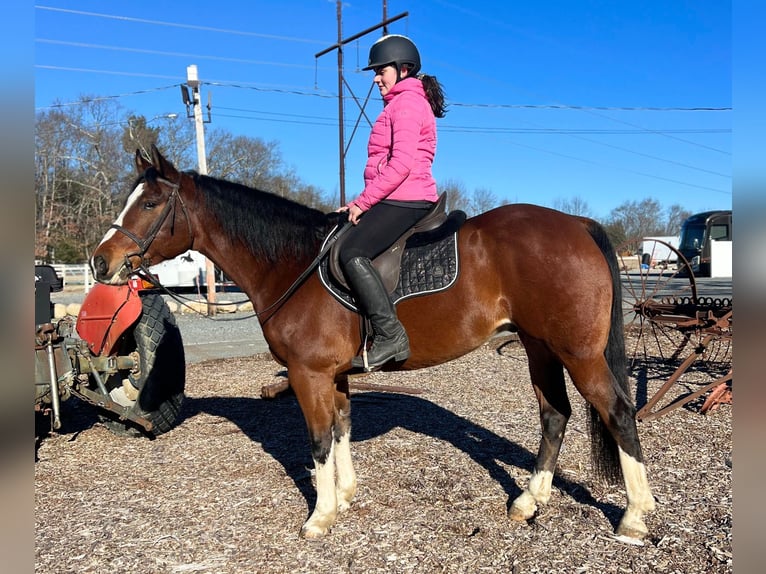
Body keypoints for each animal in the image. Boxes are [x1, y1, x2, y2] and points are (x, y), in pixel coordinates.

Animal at [90, 146, 656, 544]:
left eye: (152, 203)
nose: (100, 262)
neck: (293, 263)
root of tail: (577, 223)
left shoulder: (308, 374)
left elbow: (319, 440)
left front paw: (320, 517)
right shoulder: (333, 375)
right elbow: (341, 428)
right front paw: (343, 496)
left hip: (579, 355)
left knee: (618, 412)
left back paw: (634, 517)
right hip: (540, 348)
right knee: (554, 414)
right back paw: (528, 500)